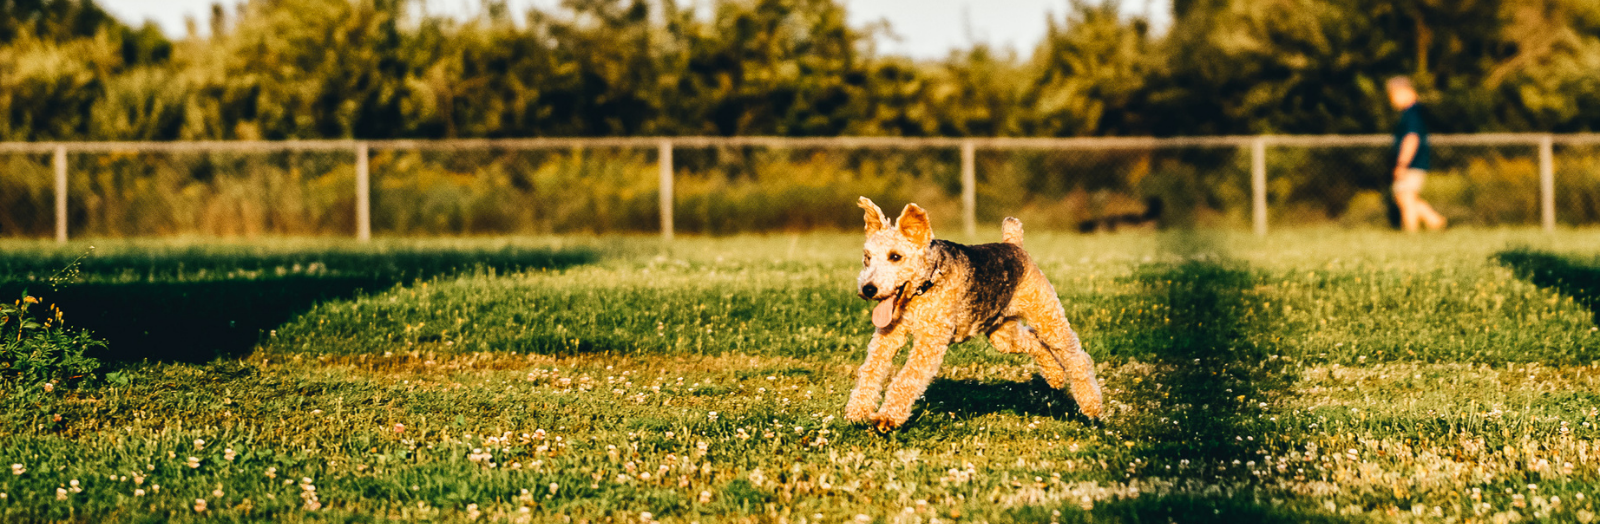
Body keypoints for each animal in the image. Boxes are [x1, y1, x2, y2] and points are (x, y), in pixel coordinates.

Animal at [851, 196, 1100, 431]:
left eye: (895, 256)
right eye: (867, 257)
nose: (868, 289)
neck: (925, 285)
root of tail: (1014, 245)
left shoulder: (929, 342)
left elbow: (907, 378)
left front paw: (886, 417)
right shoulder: (888, 336)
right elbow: (871, 369)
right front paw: (858, 411)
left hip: (1047, 317)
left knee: (1078, 358)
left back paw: (1092, 406)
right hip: (1003, 336)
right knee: (1034, 341)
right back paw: (1055, 376)